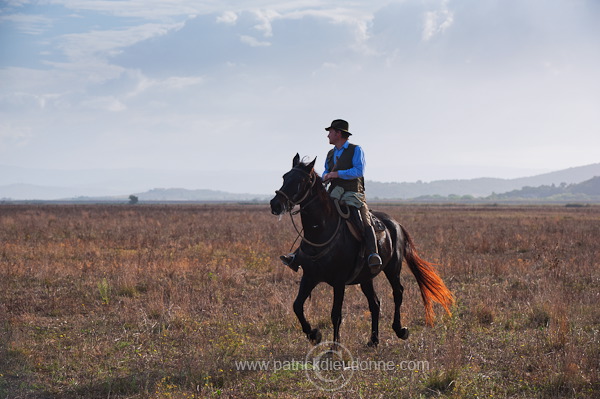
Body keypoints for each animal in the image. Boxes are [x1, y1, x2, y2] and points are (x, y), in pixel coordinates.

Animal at [270, 155, 452, 348]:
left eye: (300, 181)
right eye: (284, 177)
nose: (275, 204)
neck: (321, 231)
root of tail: (396, 224)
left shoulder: (339, 281)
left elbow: (336, 314)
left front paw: (334, 347)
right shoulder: (310, 276)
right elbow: (297, 306)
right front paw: (314, 335)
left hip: (393, 268)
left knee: (398, 293)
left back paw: (400, 330)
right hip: (366, 277)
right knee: (375, 303)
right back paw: (374, 339)